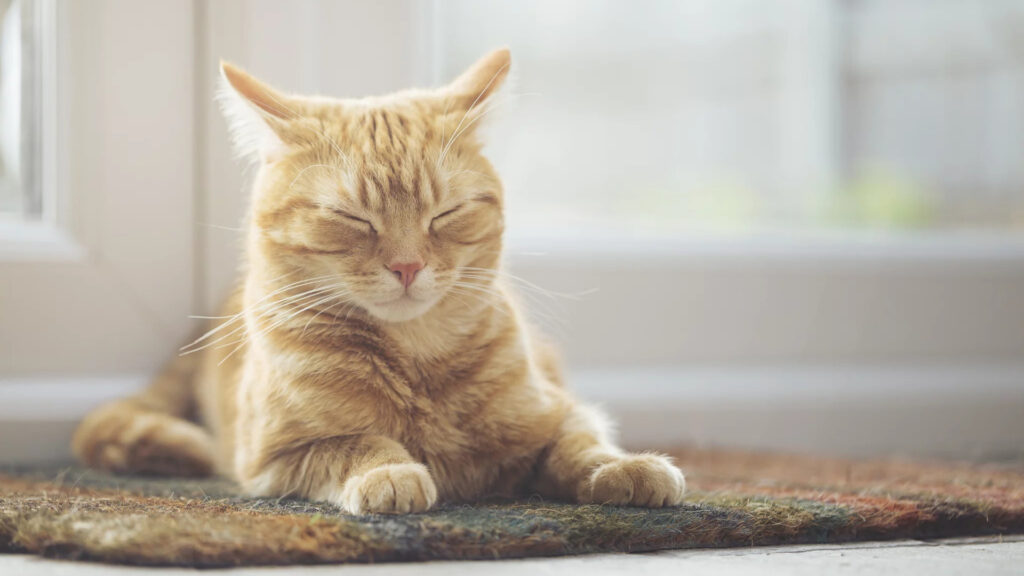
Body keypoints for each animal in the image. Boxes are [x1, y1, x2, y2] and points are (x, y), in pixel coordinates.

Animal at [68, 49, 684, 512]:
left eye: (445, 214)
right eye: (352, 218)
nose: (407, 266)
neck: (416, 360)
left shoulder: (556, 413)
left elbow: (581, 443)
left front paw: (626, 467)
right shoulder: (274, 457)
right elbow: (358, 442)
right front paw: (392, 472)